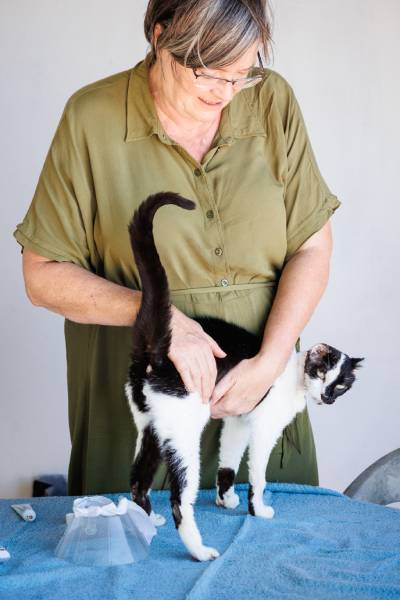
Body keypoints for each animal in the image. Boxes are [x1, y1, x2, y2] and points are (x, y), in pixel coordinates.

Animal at [124, 192, 363, 561]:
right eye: (322, 372)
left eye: (340, 386)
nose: (326, 396)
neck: (294, 378)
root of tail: (156, 356)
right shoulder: (265, 429)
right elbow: (259, 476)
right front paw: (258, 509)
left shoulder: (236, 420)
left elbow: (228, 461)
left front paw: (226, 499)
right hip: (183, 436)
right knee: (179, 499)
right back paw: (199, 550)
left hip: (151, 429)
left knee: (138, 481)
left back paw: (148, 522)